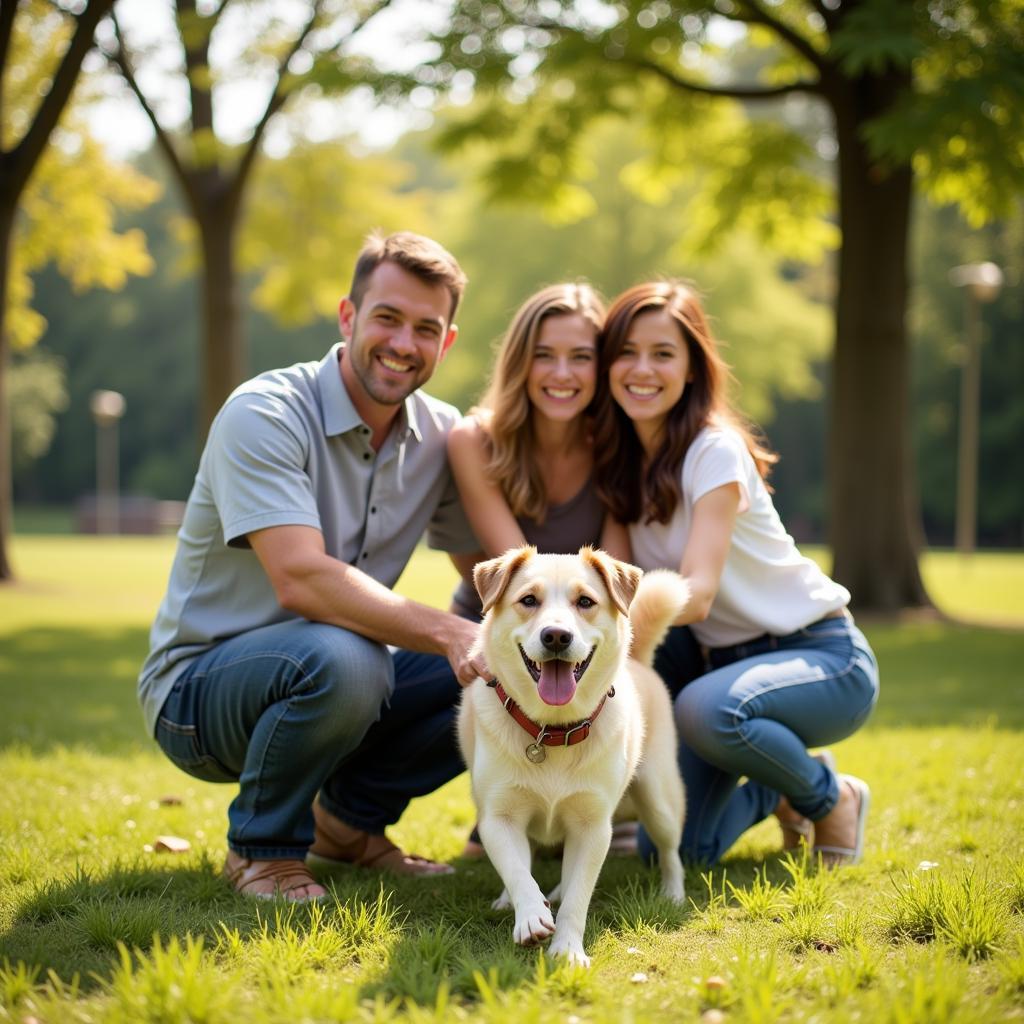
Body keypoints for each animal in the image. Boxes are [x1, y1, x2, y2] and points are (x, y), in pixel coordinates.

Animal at [462, 548, 688, 962]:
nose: (556, 636)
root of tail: (638, 661)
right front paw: (530, 915)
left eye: (585, 602)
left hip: (658, 798)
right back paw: (516, 900)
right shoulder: (498, 817)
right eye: (528, 600)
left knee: (669, 850)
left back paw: (673, 893)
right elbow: (517, 870)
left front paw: (567, 950)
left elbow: (578, 898)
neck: (551, 731)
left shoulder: (592, 827)